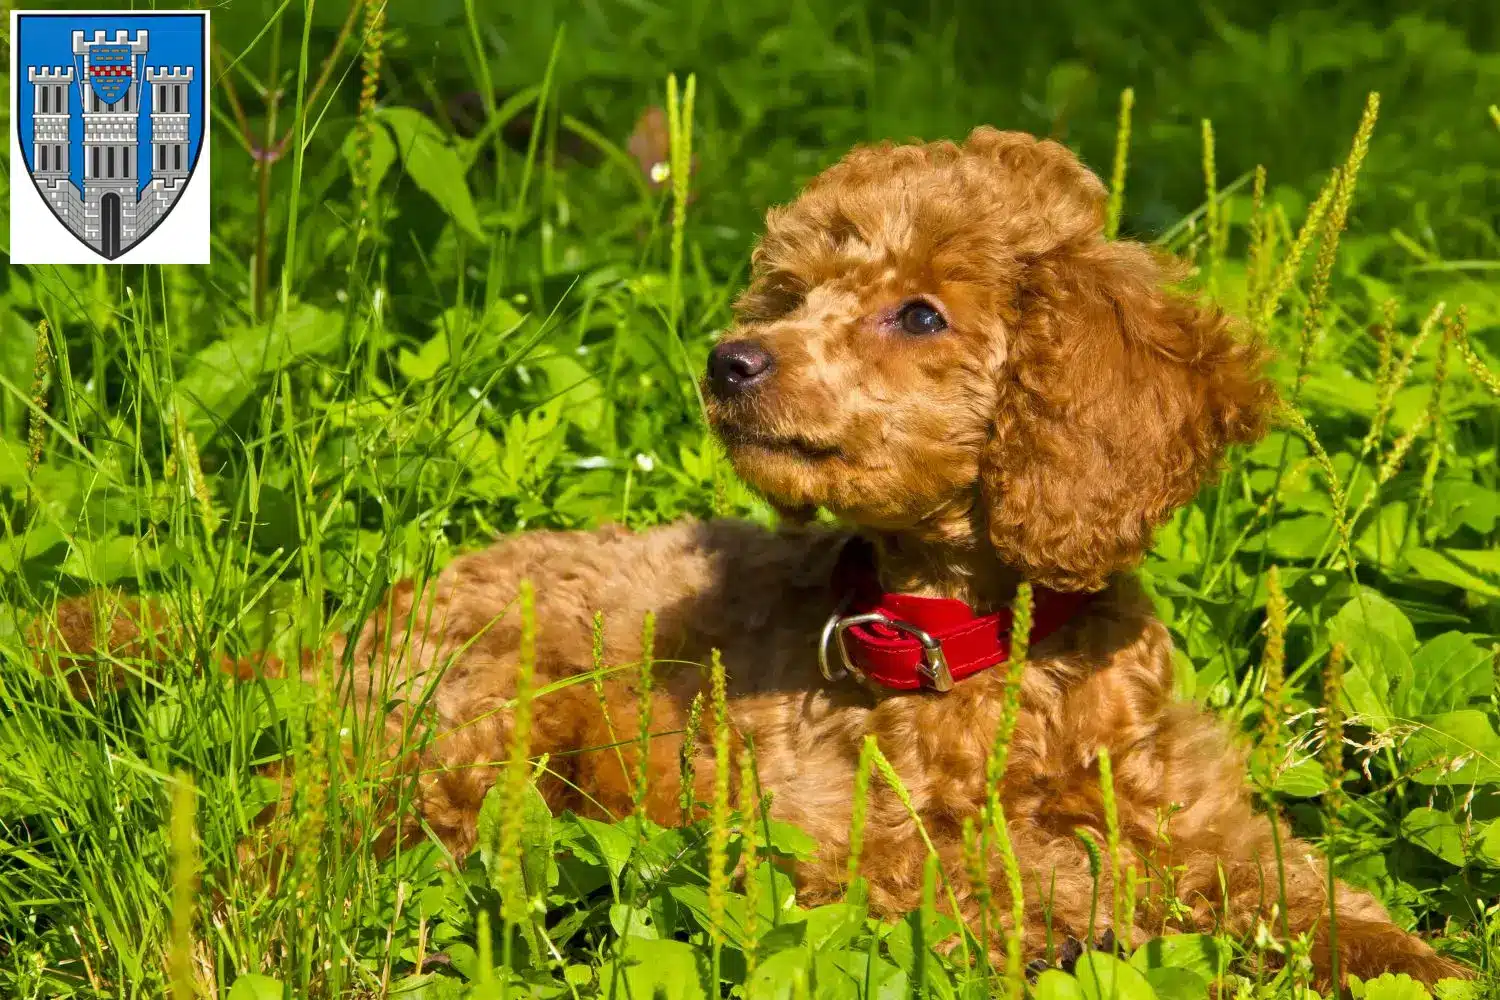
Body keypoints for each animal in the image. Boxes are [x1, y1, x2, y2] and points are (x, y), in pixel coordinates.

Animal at [43, 127, 1464, 983]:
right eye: (790, 294)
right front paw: (1110, 898)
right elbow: (1026, 874)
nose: (730, 362)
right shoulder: (837, 849)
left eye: (920, 314)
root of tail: (353, 624)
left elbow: (1297, 885)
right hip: (461, 722)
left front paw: (1416, 966)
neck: (971, 645)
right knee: (304, 824)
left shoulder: (1207, 812)